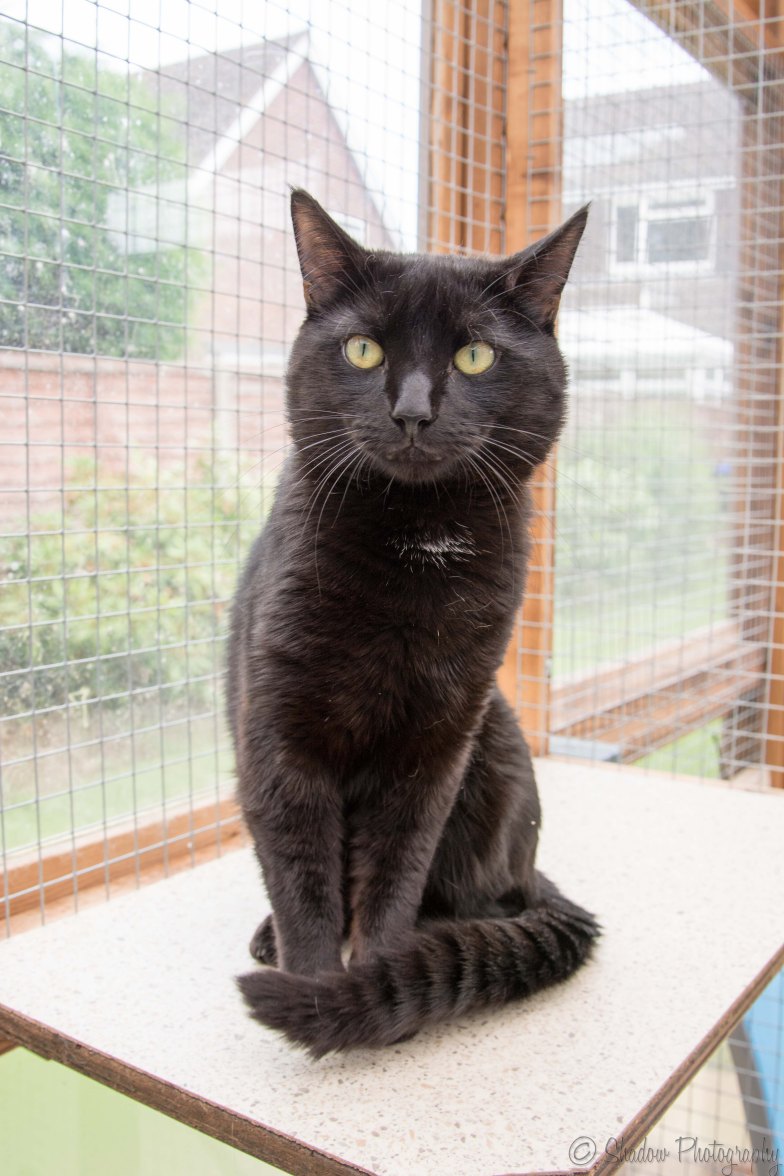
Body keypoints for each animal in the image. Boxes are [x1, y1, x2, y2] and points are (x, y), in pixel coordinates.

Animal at [228, 189, 598, 1057]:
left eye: (476, 358)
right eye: (363, 351)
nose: (412, 412)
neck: (416, 543)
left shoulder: (437, 744)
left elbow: (395, 872)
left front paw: (370, 991)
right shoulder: (278, 738)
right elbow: (303, 882)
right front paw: (313, 984)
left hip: (494, 746)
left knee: (480, 901)